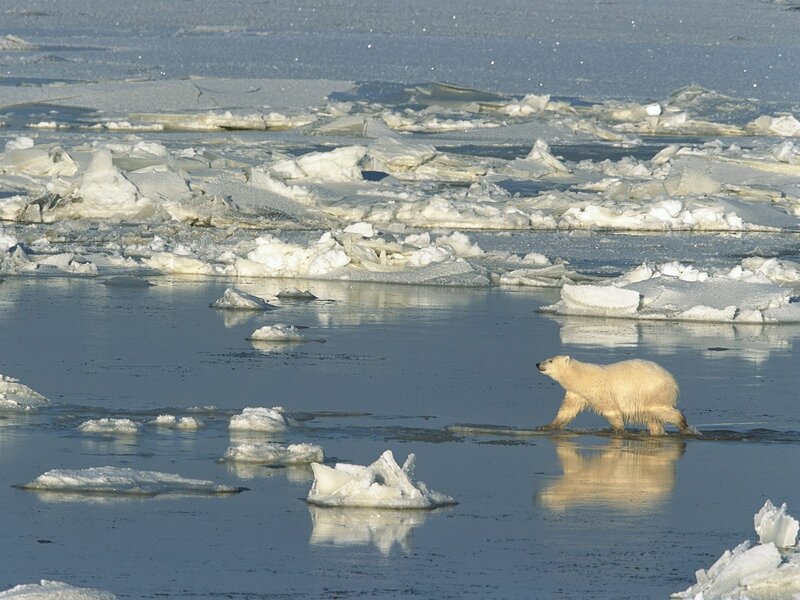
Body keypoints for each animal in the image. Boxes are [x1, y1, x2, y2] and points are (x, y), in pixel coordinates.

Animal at [535, 355, 690, 435]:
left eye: (550, 360)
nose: (537, 364)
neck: (583, 377)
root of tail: (672, 381)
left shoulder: (601, 391)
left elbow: (610, 410)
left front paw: (618, 430)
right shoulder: (576, 394)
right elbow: (567, 411)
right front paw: (546, 426)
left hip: (652, 392)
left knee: (661, 411)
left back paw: (683, 424)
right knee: (653, 420)